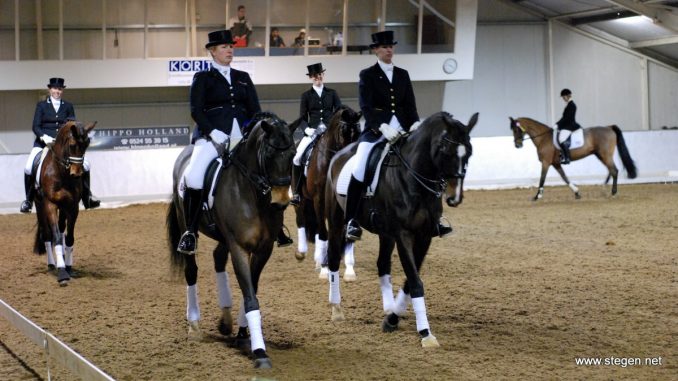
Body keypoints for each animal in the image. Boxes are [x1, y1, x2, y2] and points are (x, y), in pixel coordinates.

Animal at [33, 120, 96, 284]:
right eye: (72, 145)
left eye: (87, 144)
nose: (77, 174)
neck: (62, 173)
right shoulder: (50, 205)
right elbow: (55, 238)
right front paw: (62, 272)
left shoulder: (72, 207)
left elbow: (69, 238)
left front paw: (68, 267)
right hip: (40, 206)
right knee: (47, 235)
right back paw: (51, 264)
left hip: (63, 208)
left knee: (61, 229)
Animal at [167, 111, 298, 366]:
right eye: (269, 154)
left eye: (294, 153)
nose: (280, 202)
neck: (252, 193)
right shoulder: (239, 247)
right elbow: (250, 297)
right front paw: (260, 351)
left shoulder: (264, 249)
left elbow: (252, 290)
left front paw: (243, 333)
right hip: (187, 223)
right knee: (191, 270)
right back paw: (194, 326)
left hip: (223, 237)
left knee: (218, 257)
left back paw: (225, 321)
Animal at [294, 105, 364, 278]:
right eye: (343, 131)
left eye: (358, 132)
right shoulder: (319, 198)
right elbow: (323, 233)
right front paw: (325, 268)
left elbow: (344, 232)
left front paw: (349, 269)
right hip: (302, 198)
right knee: (302, 220)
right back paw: (303, 253)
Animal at [326, 111, 476, 346]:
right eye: (444, 149)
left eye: (469, 152)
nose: (455, 197)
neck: (412, 178)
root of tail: (339, 154)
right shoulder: (403, 234)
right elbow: (415, 281)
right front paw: (426, 333)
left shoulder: (424, 236)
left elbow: (409, 280)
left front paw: (392, 318)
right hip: (336, 220)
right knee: (333, 258)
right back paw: (336, 309)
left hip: (385, 233)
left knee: (382, 264)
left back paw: (388, 307)